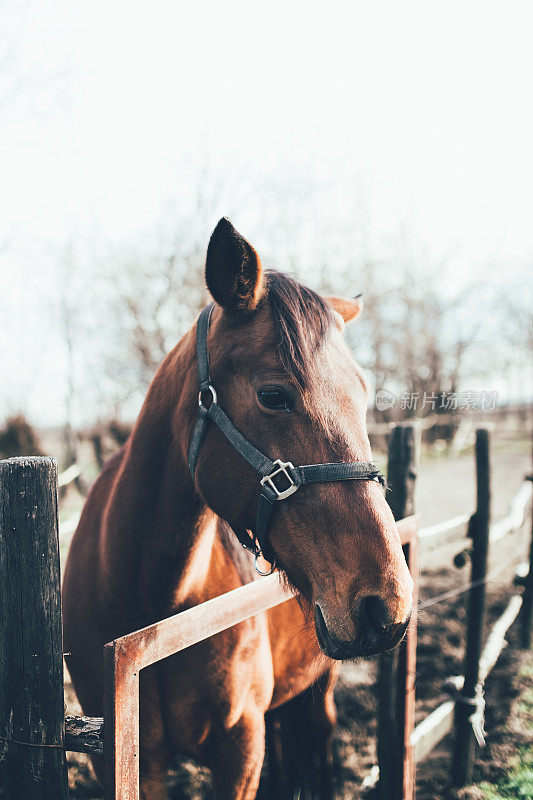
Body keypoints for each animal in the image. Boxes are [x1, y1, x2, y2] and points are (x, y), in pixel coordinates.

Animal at [61, 219, 412, 800]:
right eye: (273, 395)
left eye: (364, 395)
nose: (387, 604)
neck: (152, 612)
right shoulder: (132, 762)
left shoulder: (241, 748)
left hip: (317, 686)